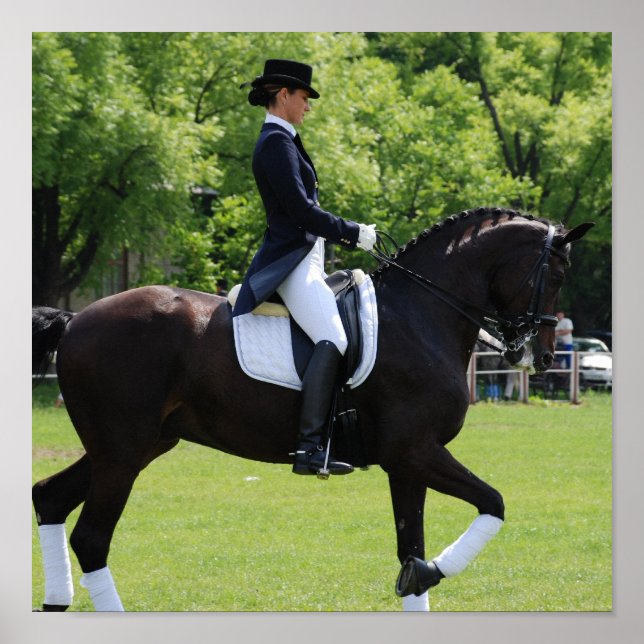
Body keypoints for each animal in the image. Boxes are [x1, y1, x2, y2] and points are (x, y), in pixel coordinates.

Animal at [32, 207, 593, 612]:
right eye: (558, 273)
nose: (542, 356)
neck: (421, 314)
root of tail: (77, 318)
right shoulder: (416, 451)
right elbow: (492, 503)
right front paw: (432, 571)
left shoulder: (407, 462)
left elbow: (411, 551)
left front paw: (418, 574)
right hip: (123, 452)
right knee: (92, 538)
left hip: (134, 446)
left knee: (49, 498)